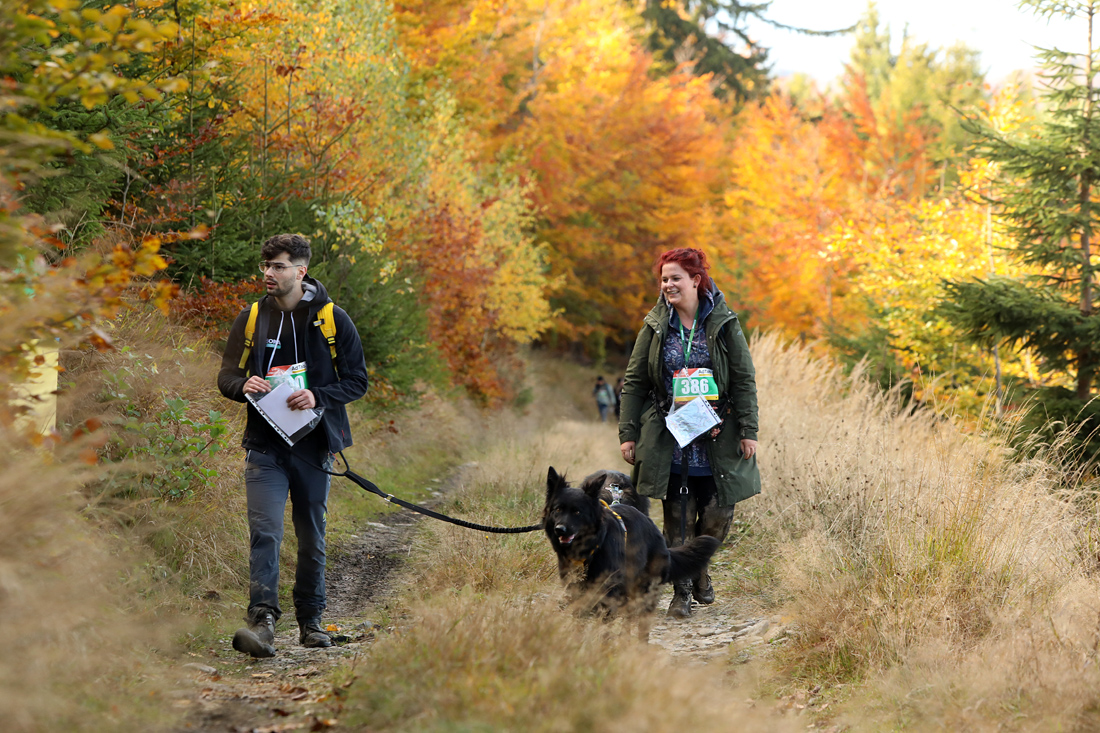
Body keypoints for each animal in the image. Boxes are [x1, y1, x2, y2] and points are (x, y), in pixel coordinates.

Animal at [543, 467, 719, 637]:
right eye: (557, 510)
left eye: (577, 512)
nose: (560, 529)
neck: (593, 546)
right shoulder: (576, 589)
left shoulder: (609, 591)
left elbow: (604, 625)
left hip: (644, 591)